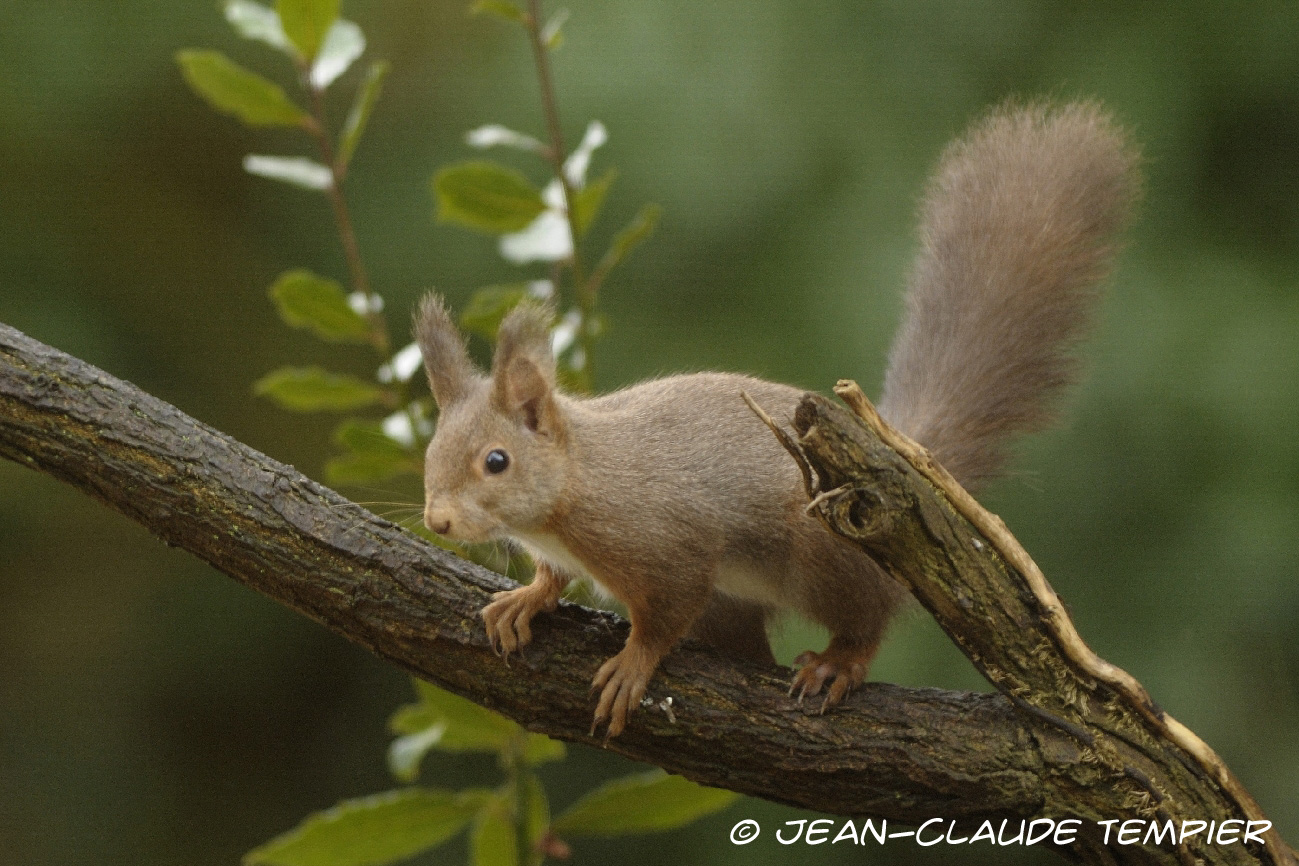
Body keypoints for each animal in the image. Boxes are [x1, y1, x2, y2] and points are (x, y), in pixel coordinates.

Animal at [413, 101, 1137, 737]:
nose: (437, 521)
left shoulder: (664, 541)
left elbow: (666, 613)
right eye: (430, 455)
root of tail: (905, 470)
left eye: (496, 461)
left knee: (866, 615)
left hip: (827, 553)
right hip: (740, 604)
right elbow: (554, 576)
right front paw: (528, 597)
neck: (572, 488)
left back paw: (837, 662)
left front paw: (632, 664)